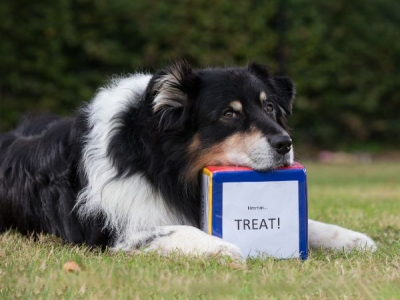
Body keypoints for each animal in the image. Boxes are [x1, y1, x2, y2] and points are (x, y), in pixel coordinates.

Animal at [0, 61, 376, 258]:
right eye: (229, 113)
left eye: (269, 107)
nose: (286, 144)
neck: (163, 163)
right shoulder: (115, 233)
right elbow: (176, 228)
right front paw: (223, 246)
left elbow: (306, 221)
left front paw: (350, 238)